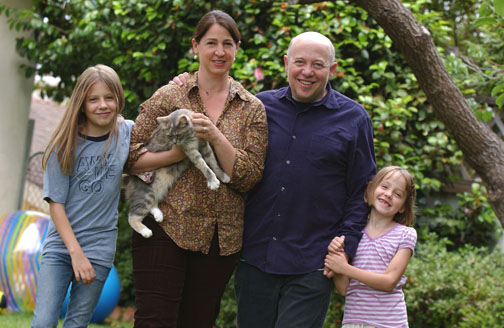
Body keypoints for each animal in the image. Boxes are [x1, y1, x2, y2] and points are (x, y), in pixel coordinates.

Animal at [124, 109, 230, 237]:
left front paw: (223, 176)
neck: (191, 134)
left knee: (153, 203)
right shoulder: (190, 150)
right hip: (144, 193)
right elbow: (204, 166)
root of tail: (128, 178)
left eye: (178, 135)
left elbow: (213, 162)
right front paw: (213, 181)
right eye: (169, 136)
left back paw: (158, 215)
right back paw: (146, 231)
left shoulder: (204, 145)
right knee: (132, 217)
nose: (175, 143)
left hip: (158, 188)